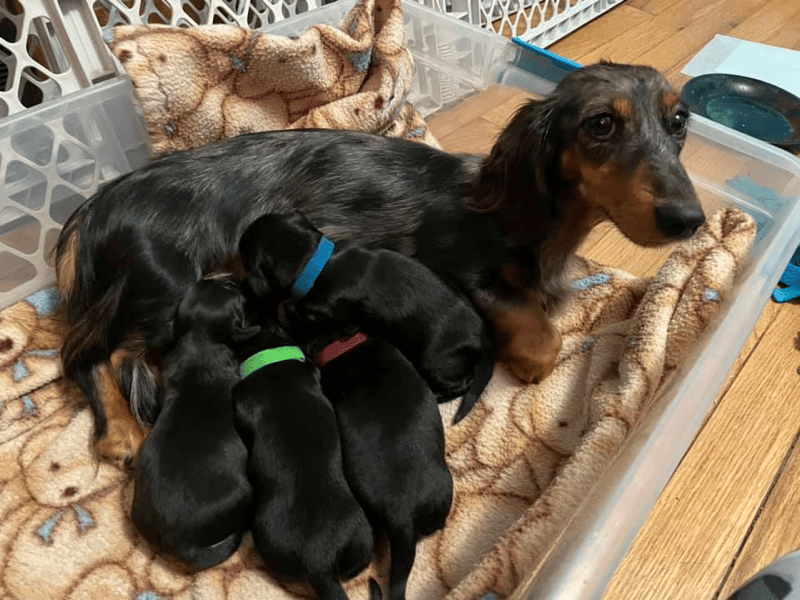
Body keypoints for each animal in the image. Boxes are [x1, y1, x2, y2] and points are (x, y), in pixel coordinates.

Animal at [238, 212, 494, 426]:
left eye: (244, 252)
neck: (318, 264)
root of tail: (485, 339)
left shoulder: (324, 311)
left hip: (436, 360)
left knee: (462, 382)